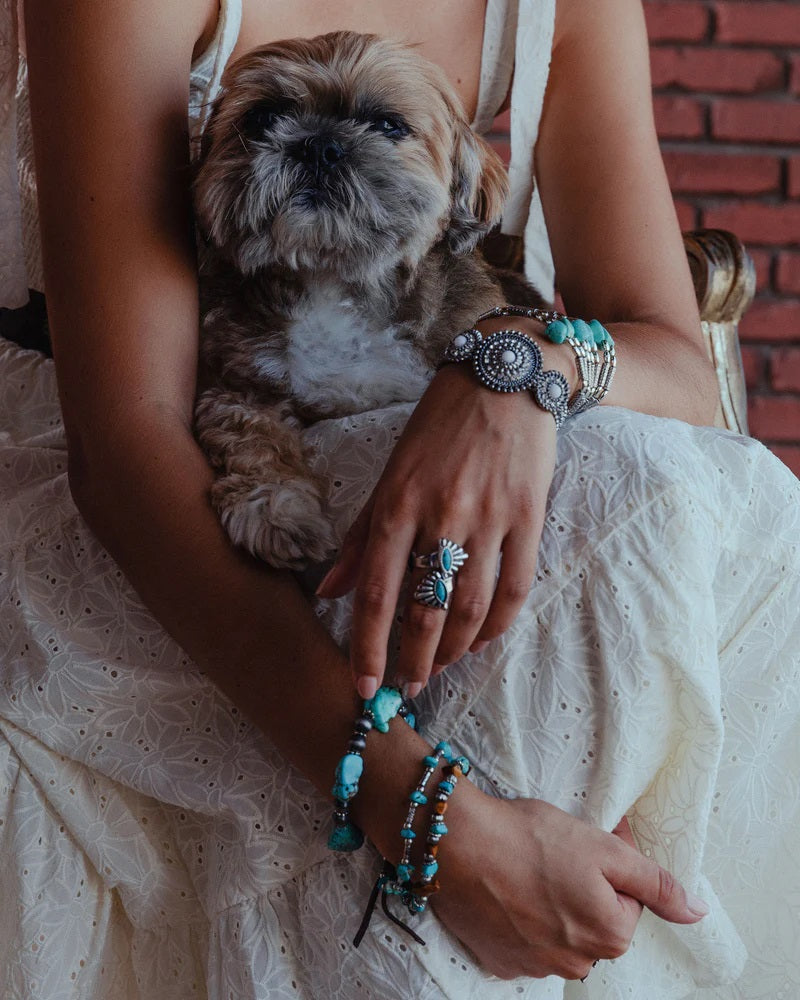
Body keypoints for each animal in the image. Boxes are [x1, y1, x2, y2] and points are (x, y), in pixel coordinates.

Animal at [195, 31, 544, 572]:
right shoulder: (234, 387)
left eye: (388, 124)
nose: (319, 145)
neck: (334, 280)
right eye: (262, 118)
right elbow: (252, 436)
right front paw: (277, 508)